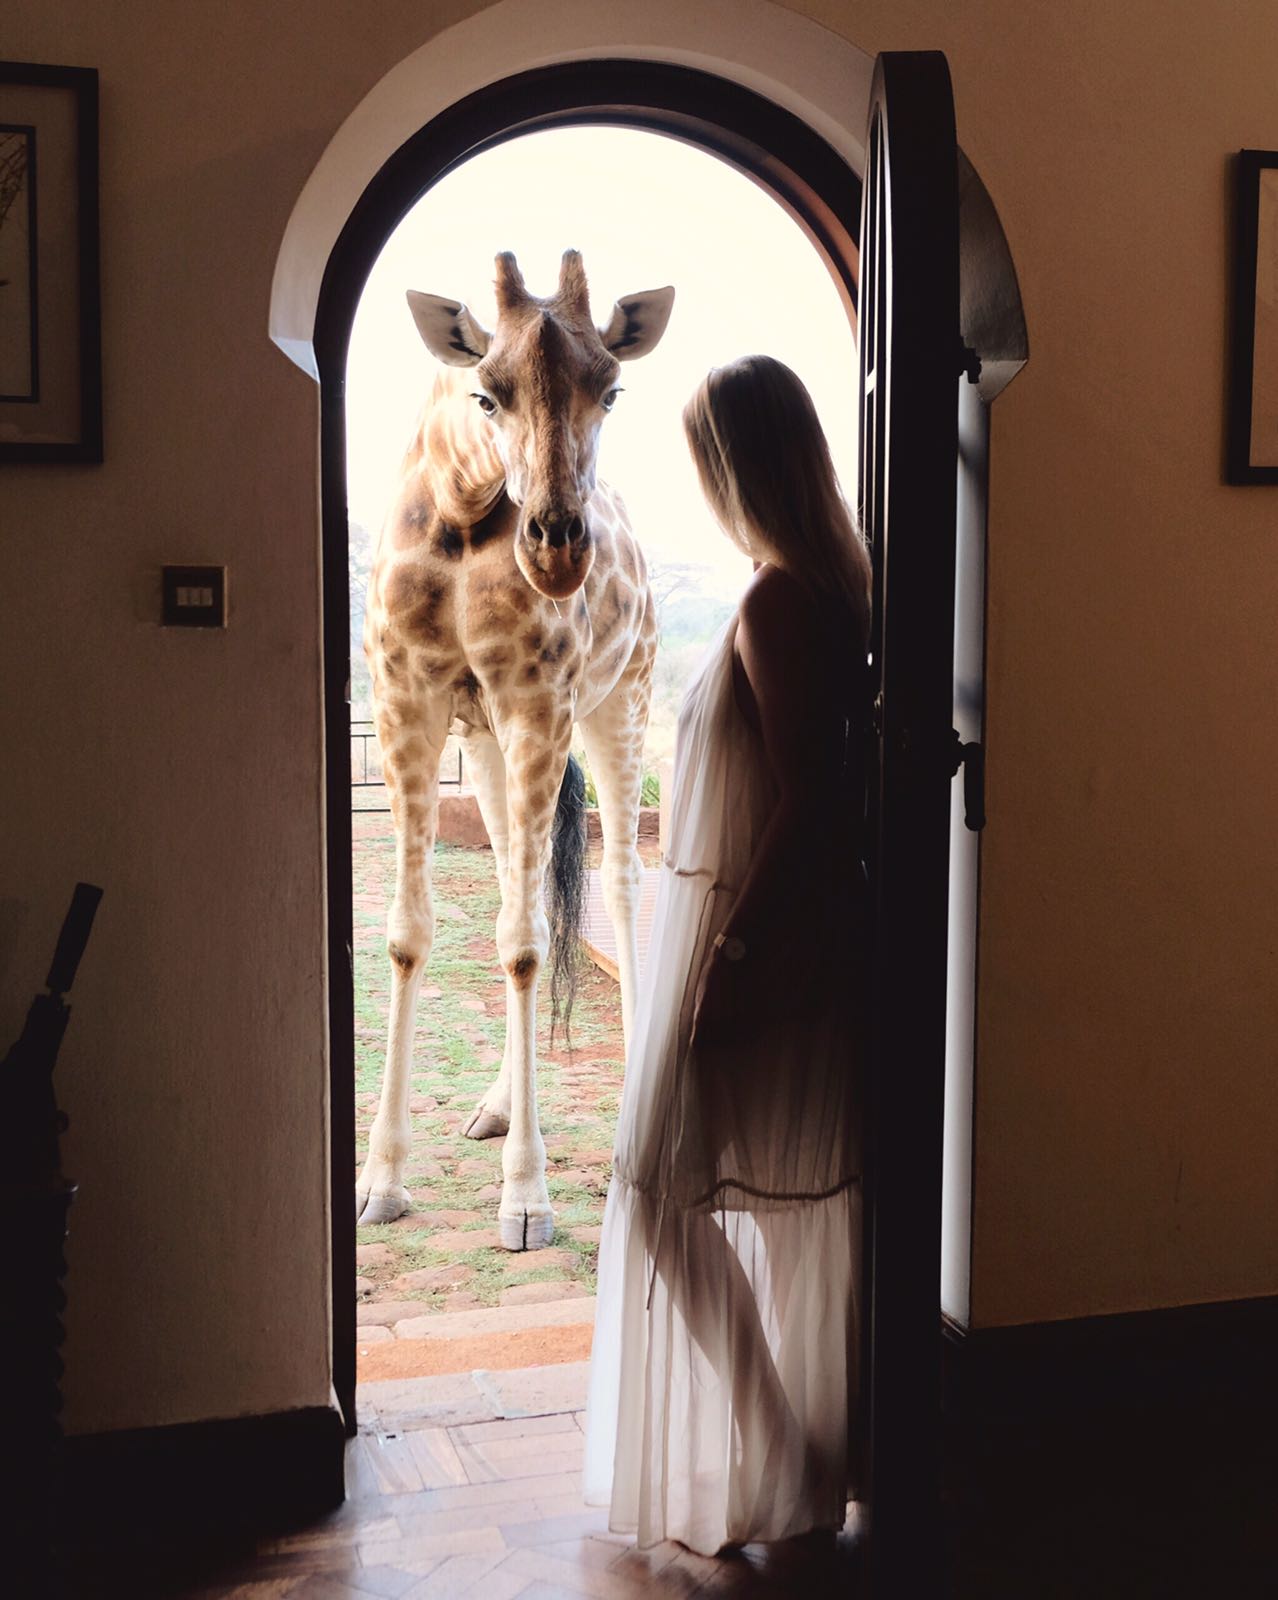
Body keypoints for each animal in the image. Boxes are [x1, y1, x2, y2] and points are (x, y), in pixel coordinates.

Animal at [350, 249, 668, 1248]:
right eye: (486, 393)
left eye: (612, 389)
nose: (559, 549)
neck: (460, 509)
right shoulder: (407, 702)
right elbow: (411, 934)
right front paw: (381, 1179)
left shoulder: (538, 703)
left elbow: (526, 945)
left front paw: (525, 1196)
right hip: (488, 746)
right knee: (511, 888)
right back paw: (493, 1105)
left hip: (619, 703)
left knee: (618, 881)